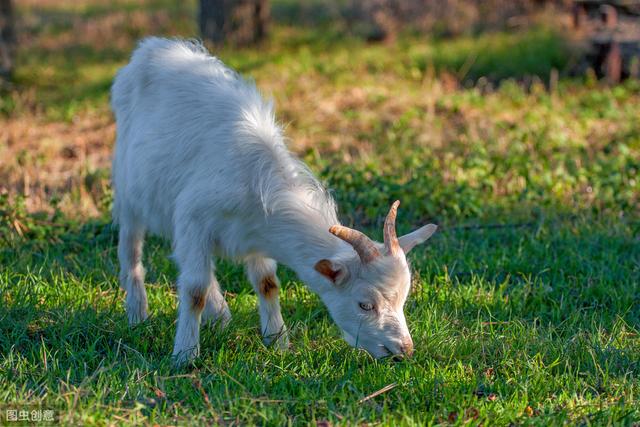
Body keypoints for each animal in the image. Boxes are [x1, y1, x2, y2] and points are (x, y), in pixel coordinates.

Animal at [112, 37, 438, 364]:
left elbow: (267, 283)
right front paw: (185, 354)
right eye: (365, 305)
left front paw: (278, 342)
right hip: (128, 192)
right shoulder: (194, 222)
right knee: (132, 250)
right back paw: (137, 313)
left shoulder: (254, 233)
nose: (403, 350)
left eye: (403, 299)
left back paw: (221, 317)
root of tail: (154, 47)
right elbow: (194, 291)